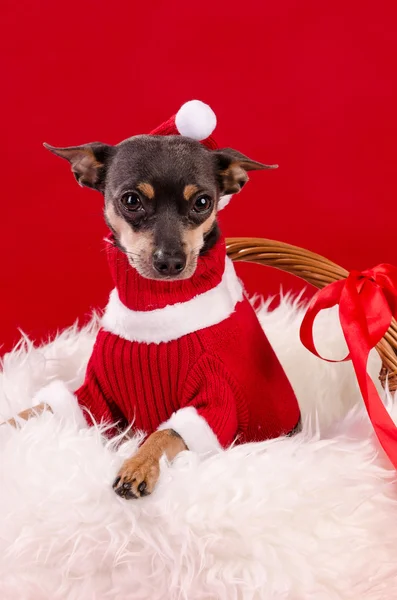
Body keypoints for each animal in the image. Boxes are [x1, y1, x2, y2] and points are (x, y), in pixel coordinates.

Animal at [3, 105, 300, 500]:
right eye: (131, 200)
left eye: (202, 202)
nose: (171, 262)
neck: (154, 311)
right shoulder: (95, 399)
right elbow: (38, 408)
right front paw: (8, 423)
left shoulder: (213, 404)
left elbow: (165, 432)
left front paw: (137, 465)